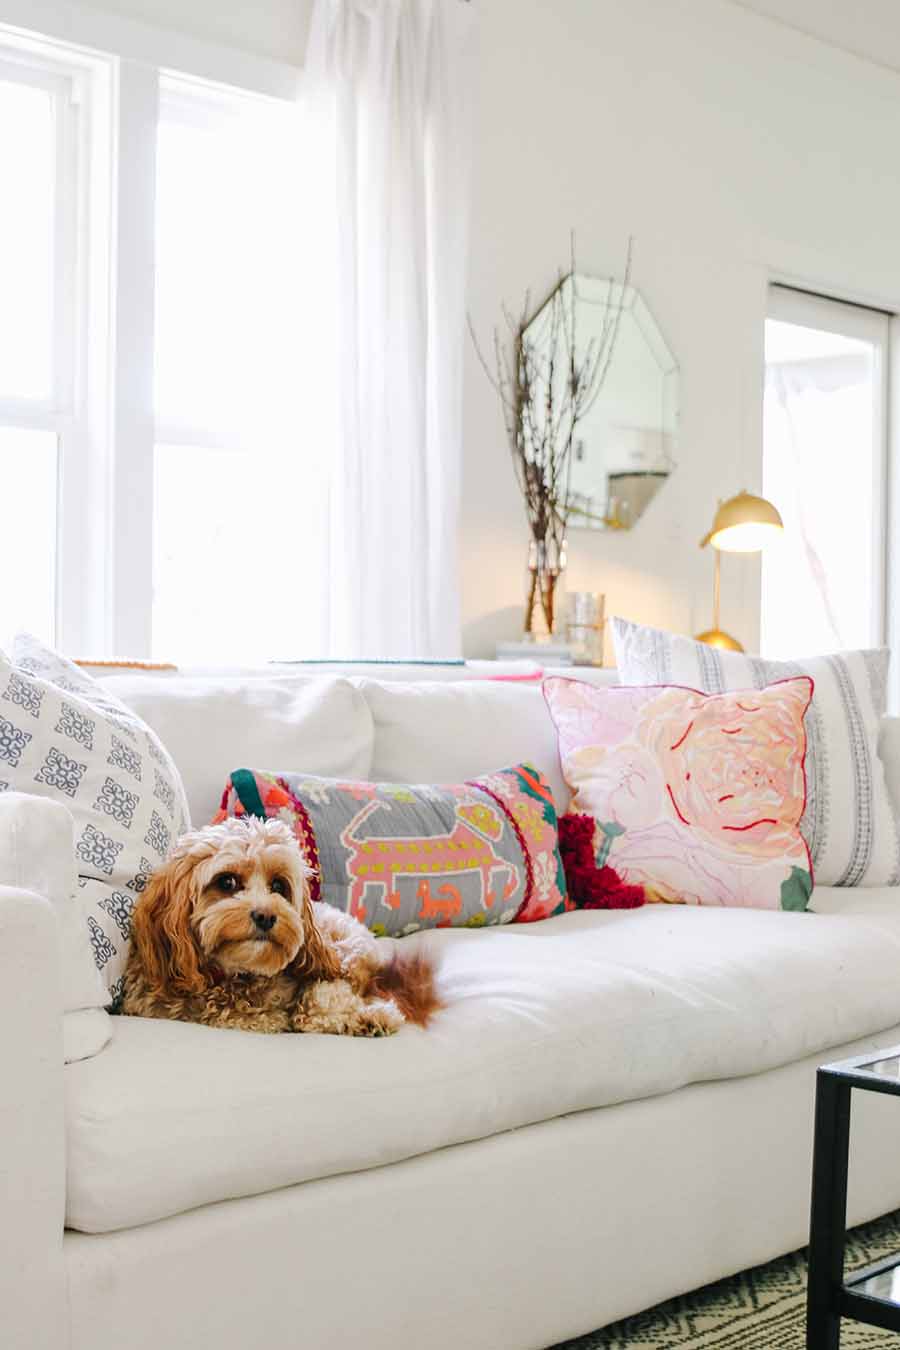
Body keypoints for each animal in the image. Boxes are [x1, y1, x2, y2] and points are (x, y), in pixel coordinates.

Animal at [121, 810, 442, 1031]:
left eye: (278, 886)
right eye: (226, 881)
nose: (265, 916)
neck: (235, 978)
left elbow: (318, 1001)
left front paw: (376, 1015)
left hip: (349, 951)